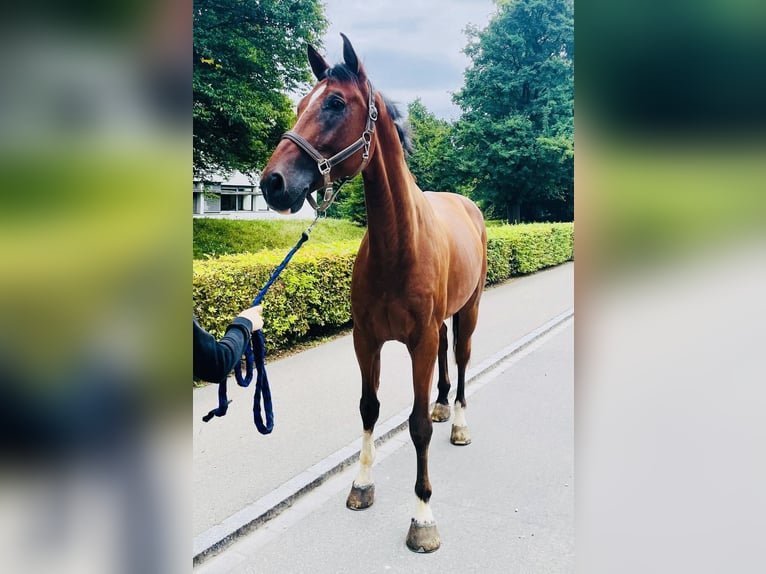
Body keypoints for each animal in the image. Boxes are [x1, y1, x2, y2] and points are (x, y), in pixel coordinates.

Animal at [260, 35, 488, 552]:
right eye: (300, 104)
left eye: (335, 103)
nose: (272, 183)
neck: (397, 245)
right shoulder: (367, 339)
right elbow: (369, 408)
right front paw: (362, 484)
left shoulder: (418, 342)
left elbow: (417, 426)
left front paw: (422, 516)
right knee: (447, 359)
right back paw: (443, 404)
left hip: (469, 311)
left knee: (462, 357)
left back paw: (459, 423)